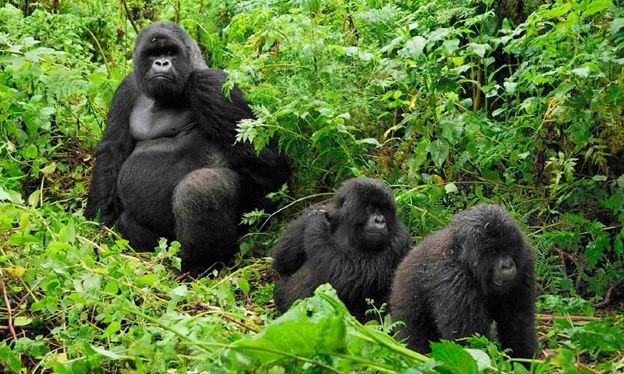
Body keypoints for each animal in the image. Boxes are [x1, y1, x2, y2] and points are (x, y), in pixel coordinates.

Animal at [84, 22, 292, 274]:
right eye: (152, 54)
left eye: (170, 52)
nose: (161, 63)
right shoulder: (127, 87)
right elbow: (112, 152)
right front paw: (96, 223)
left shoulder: (211, 84)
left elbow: (267, 164)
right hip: (165, 243)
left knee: (200, 188)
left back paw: (200, 266)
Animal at [272, 178, 410, 322]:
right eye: (371, 208)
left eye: (383, 210)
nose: (379, 220)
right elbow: (282, 262)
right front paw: (314, 215)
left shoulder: (399, 240)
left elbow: (347, 276)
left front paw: (316, 220)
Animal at [390, 205, 536, 360]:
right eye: (493, 251)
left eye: (509, 247)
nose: (507, 266)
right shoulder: (454, 278)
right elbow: (468, 340)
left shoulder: (525, 260)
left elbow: (518, 322)